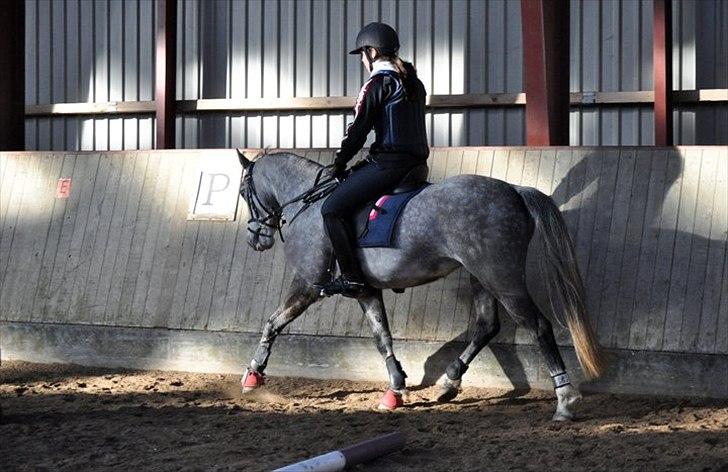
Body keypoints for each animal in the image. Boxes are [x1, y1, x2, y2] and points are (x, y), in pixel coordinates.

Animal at [236, 150, 604, 420]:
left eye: (242, 192)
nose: (256, 239)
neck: (308, 205)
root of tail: (515, 190)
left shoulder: (309, 284)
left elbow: (273, 322)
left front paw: (253, 375)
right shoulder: (365, 290)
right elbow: (382, 337)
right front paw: (395, 389)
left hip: (503, 278)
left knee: (538, 326)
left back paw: (564, 402)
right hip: (482, 277)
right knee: (486, 326)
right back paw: (450, 383)